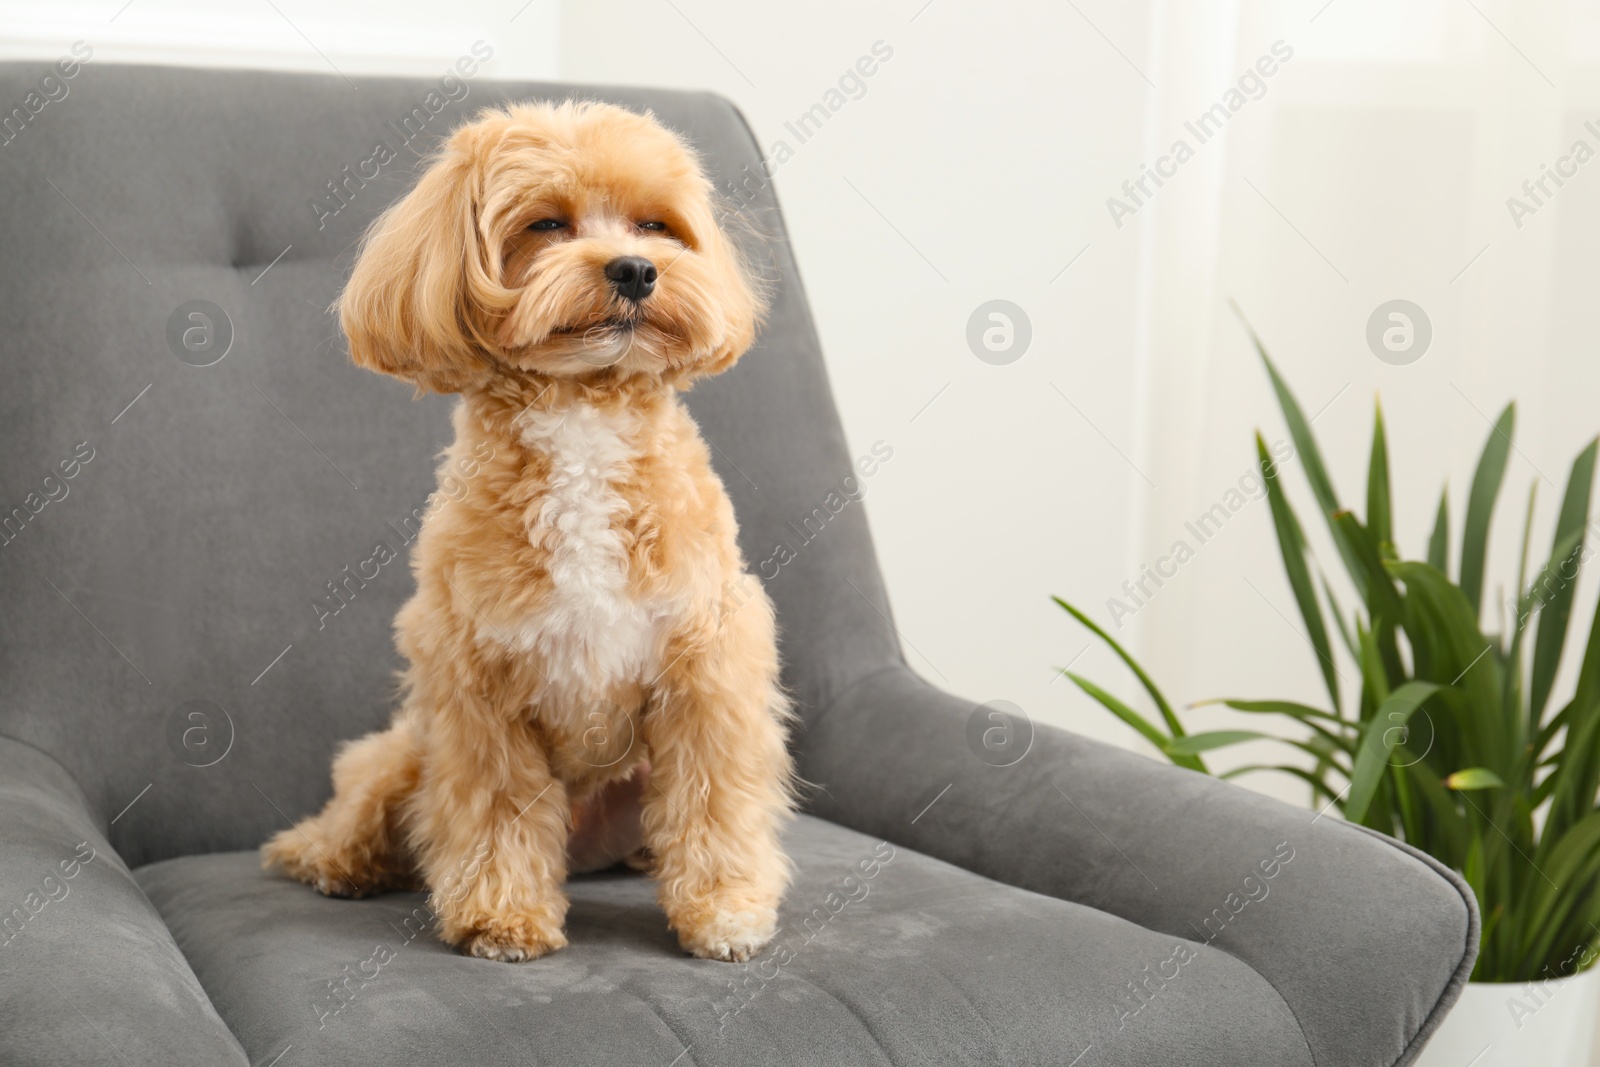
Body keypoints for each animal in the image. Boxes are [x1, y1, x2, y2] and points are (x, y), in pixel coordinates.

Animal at [260, 102, 800, 966]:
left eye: (656, 225)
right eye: (546, 223)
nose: (635, 270)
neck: (581, 411)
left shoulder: (708, 666)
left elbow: (716, 798)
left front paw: (725, 910)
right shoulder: (476, 684)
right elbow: (494, 808)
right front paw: (502, 918)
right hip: (408, 748)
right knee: (362, 803)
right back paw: (332, 860)